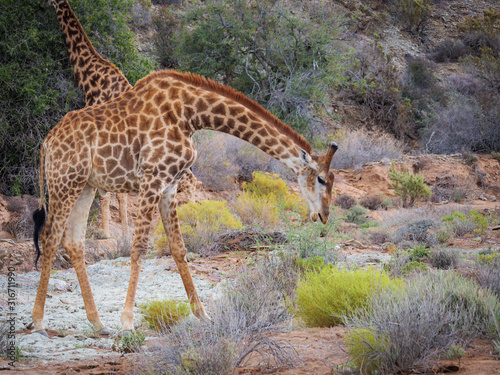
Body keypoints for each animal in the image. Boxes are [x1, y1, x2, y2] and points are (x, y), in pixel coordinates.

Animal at [30, 69, 336, 336]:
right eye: (322, 179)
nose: (324, 215)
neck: (192, 114)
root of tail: (46, 142)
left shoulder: (169, 185)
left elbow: (178, 248)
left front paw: (203, 314)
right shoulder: (152, 178)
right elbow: (139, 248)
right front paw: (127, 322)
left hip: (86, 185)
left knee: (73, 242)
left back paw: (97, 323)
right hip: (64, 182)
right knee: (50, 238)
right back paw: (39, 322)